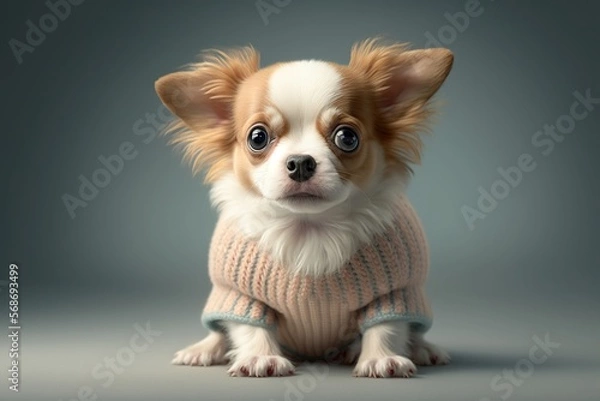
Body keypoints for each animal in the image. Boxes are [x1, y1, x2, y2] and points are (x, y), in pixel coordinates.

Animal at [157, 39, 452, 376]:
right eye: (258, 137)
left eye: (347, 137)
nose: (300, 162)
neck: (308, 227)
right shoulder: (240, 294)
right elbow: (250, 327)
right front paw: (260, 358)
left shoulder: (395, 291)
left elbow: (386, 326)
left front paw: (380, 358)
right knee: (219, 329)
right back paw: (203, 350)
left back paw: (419, 349)